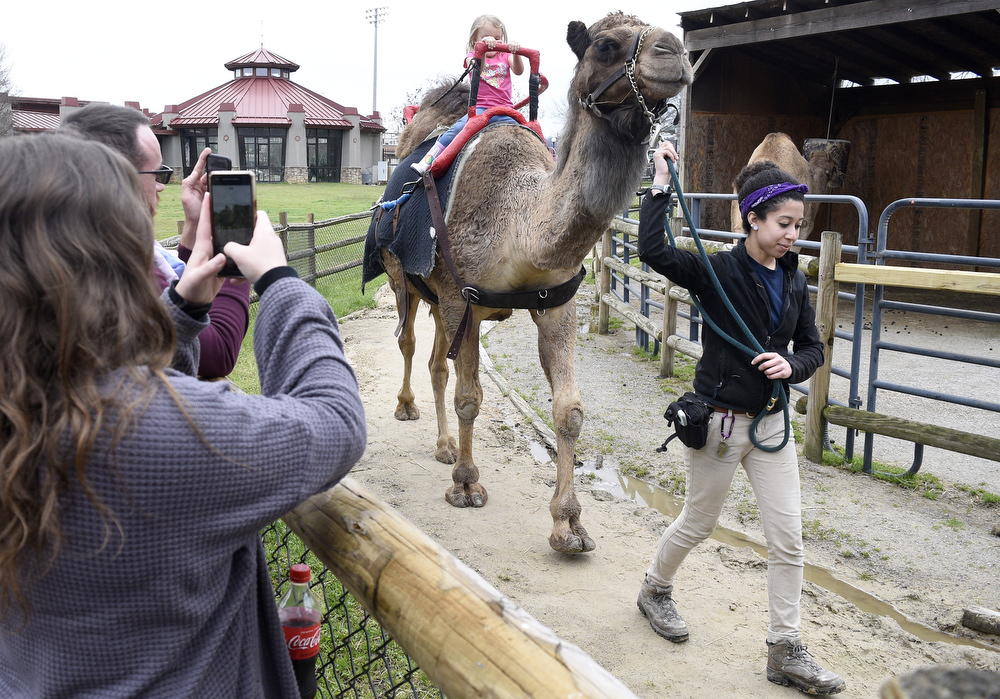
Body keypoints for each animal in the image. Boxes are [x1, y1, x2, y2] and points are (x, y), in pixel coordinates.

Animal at [380, 12, 693, 554]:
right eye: (605, 45)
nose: (675, 51)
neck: (520, 220)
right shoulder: (464, 301)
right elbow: (470, 397)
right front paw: (467, 485)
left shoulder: (555, 302)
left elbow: (569, 410)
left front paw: (569, 525)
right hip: (407, 278)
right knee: (408, 341)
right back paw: (409, 411)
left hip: (440, 299)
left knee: (436, 362)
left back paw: (444, 447)